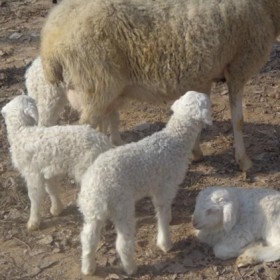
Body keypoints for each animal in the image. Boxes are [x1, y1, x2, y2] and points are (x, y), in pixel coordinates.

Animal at [1, 95, 112, 231]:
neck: (22, 132)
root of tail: (104, 144)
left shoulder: (32, 172)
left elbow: (34, 196)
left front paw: (33, 222)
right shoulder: (47, 171)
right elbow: (52, 189)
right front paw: (56, 209)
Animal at [39, 0, 280, 171]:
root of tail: (50, 37)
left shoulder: (203, 76)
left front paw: (196, 152)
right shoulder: (238, 65)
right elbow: (238, 120)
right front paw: (244, 161)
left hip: (95, 88)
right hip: (97, 83)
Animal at [77, 90, 212, 276]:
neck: (175, 139)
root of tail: (97, 188)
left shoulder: (159, 187)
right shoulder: (165, 187)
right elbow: (162, 214)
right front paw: (165, 243)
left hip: (91, 210)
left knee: (88, 238)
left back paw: (88, 268)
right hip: (122, 205)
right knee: (122, 242)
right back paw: (131, 268)